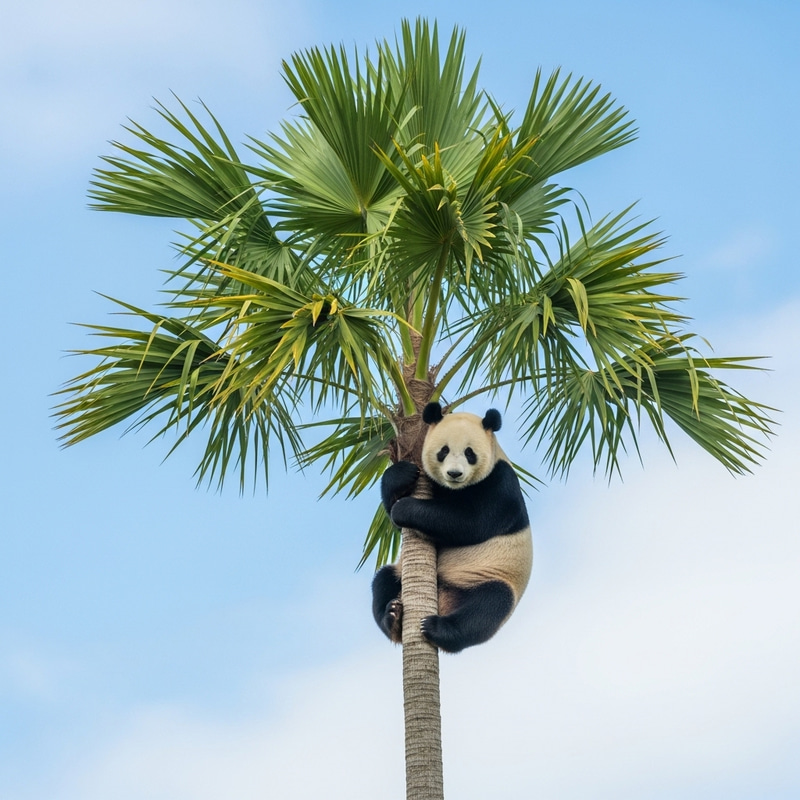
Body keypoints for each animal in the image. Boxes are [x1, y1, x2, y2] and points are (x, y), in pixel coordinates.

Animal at [372, 401, 533, 653]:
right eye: (443, 451)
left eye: (469, 453)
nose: (454, 474)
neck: (454, 488)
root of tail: (443, 600)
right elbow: (398, 522)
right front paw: (401, 476)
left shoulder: (500, 484)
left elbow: (469, 522)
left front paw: (405, 508)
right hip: (400, 574)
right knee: (382, 581)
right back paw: (393, 618)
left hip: (491, 575)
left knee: (488, 606)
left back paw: (439, 628)